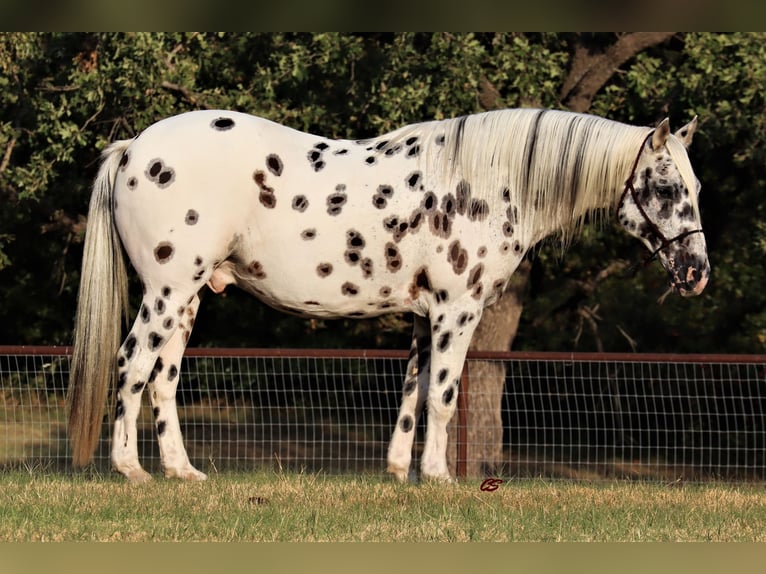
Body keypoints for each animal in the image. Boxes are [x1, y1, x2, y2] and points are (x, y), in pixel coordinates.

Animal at [69, 107, 712, 482]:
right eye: (664, 186)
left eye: (697, 186)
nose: (697, 272)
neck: (487, 179)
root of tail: (134, 147)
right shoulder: (457, 310)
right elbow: (446, 397)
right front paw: (440, 479)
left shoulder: (426, 316)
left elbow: (415, 393)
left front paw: (401, 473)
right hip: (167, 292)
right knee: (131, 366)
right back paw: (131, 471)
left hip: (189, 299)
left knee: (163, 379)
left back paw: (183, 474)